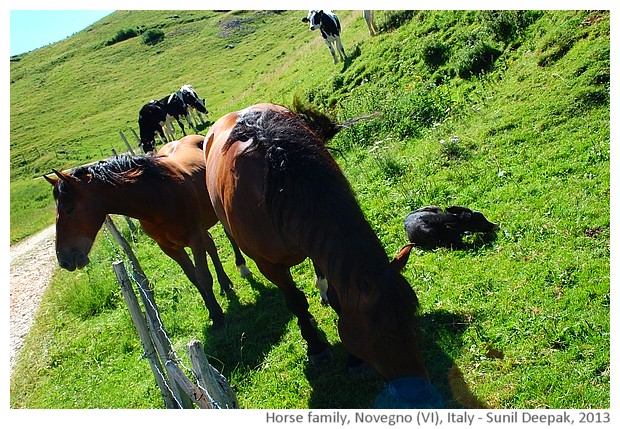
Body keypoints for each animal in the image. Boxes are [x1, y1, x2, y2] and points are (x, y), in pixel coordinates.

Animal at [42, 135, 251, 328]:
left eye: (69, 209)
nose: (63, 259)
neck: (157, 197)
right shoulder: (170, 247)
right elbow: (193, 277)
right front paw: (211, 309)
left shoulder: (194, 238)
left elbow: (202, 276)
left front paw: (217, 316)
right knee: (211, 246)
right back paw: (225, 284)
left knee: (228, 237)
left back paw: (242, 268)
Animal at [202, 104, 440, 408]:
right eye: (381, 333)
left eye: (411, 319)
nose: (421, 392)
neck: (278, 182)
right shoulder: (270, 265)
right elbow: (295, 302)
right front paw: (315, 347)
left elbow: (338, 297)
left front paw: (354, 360)